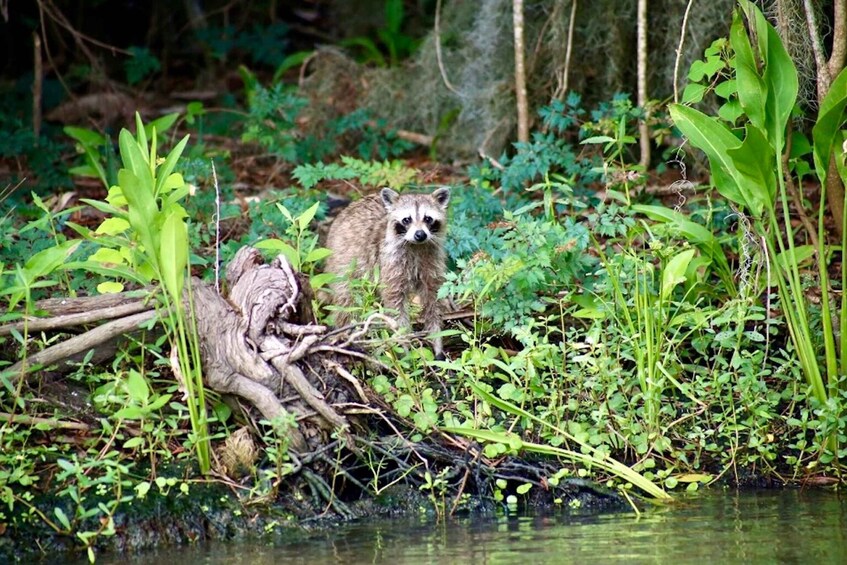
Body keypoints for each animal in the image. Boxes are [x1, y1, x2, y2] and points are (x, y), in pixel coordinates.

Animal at [326, 187, 454, 360]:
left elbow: (433, 301)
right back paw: (348, 334)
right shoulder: (391, 263)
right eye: (407, 220)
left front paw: (437, 340)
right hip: (344, 259)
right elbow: (395, 306)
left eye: (428, 219)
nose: (420, 234)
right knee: (347, 298)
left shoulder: (431, 263)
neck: (415, 246)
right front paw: (404, 346)